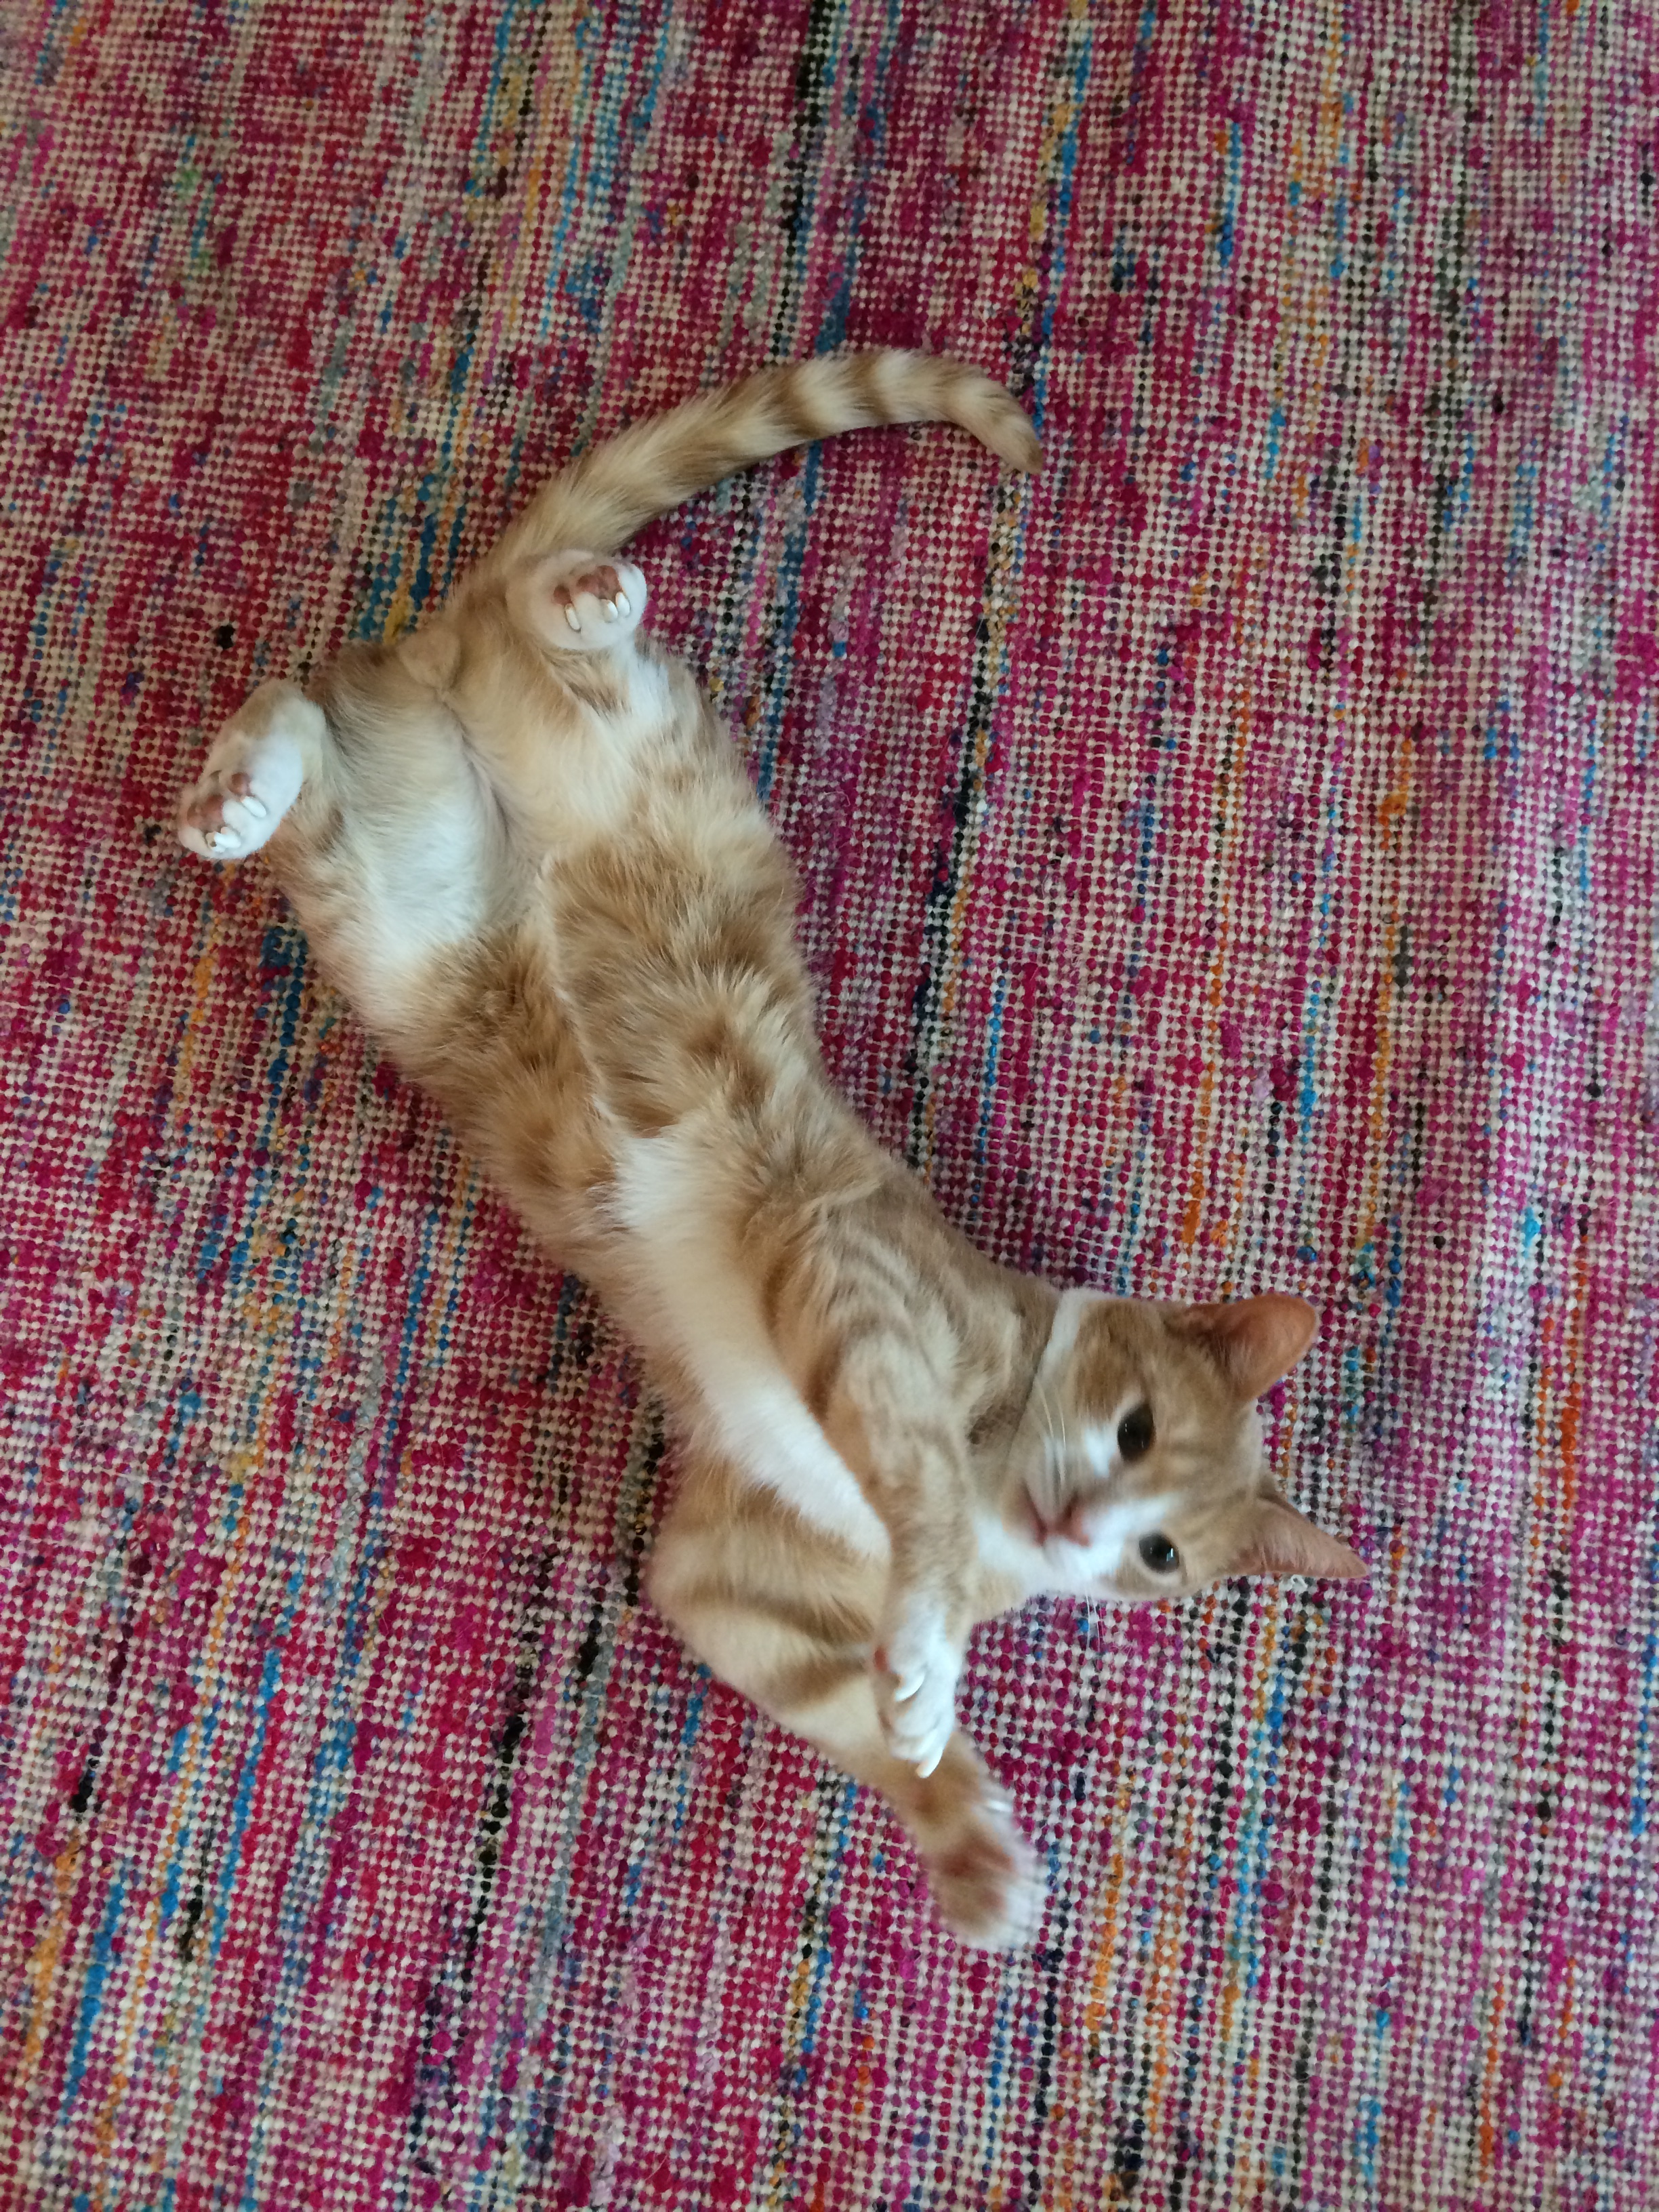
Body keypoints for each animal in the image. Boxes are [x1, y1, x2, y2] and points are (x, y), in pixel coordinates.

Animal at [176, 349, 1366, 1948]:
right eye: (1131, 1434)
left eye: (1163, 1556)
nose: (1089, 1523)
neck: (1005, 1479)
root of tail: (457, 647)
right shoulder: (846, 1273)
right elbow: (914, 1494)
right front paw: (935, 1638)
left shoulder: (725, 1571)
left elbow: (840, 1707)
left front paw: (970, 1842)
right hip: (622, 756)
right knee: (438, 654)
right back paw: (566, 607)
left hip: (385, 913)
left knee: (313, 729)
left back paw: (257, 786)